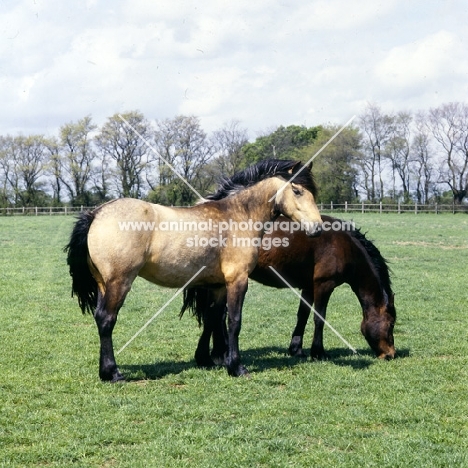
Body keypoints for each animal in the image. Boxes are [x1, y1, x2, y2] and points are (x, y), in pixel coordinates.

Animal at [65, 160, 322, 380]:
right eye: (297, 191)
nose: (318, 228)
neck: (238, 215)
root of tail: (96, 213)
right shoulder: (237, 280)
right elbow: (234, 321)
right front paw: (236, 367)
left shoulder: (217, 285)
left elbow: (212, 318)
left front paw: (207, 359)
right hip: (119, 283)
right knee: (107, 319)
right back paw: (113, 373)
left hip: (103, 285)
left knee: (100, 318)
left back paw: (105, 370)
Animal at [181, 214, 396, 368]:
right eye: (391, 324)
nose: (390, 354)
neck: (344, 245)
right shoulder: (324, 285)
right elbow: (319, 318)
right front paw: (318, 352)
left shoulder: (309, 287)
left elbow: (303, 315)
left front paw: (296, 349)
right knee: (216, 316)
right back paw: (217, 355)